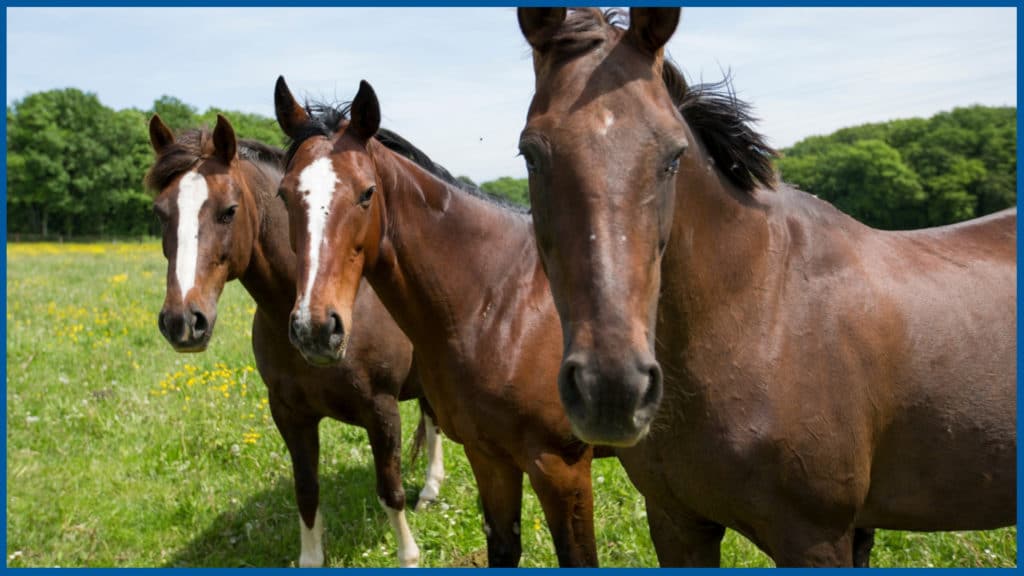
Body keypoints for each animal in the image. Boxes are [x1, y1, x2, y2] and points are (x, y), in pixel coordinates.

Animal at [146, 113, 446, 565]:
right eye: (161, 213)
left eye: (228, 211)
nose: (183, 321)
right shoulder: (289, 414)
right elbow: (306, 491)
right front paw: (311, 557)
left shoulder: (381, 409)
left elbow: (390, 490)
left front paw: (409, 555)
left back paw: (429, 489)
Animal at [274, 76, 606, 565]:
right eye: (284, 194)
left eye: (366, 193)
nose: (314, 329)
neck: (504, 305)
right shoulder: (490, 456)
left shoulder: (563, 469)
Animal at [520, 7, 1015, 565]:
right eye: (530, 154)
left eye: (673, 155)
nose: (611, 389)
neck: (758, 316)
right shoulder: (677, 523)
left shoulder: (815, 537)